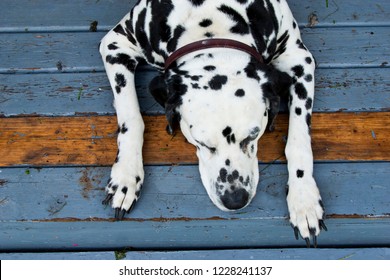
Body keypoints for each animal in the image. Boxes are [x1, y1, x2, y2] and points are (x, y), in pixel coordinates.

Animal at [100, 0, 326, 245]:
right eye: (203, 143)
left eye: (253, 135)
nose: (235, 200)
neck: (209, 21)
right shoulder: (116, 43)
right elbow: (131, 115)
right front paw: (126, 175)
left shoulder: (299, 59)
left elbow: (299, 139)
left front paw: (303, 198)